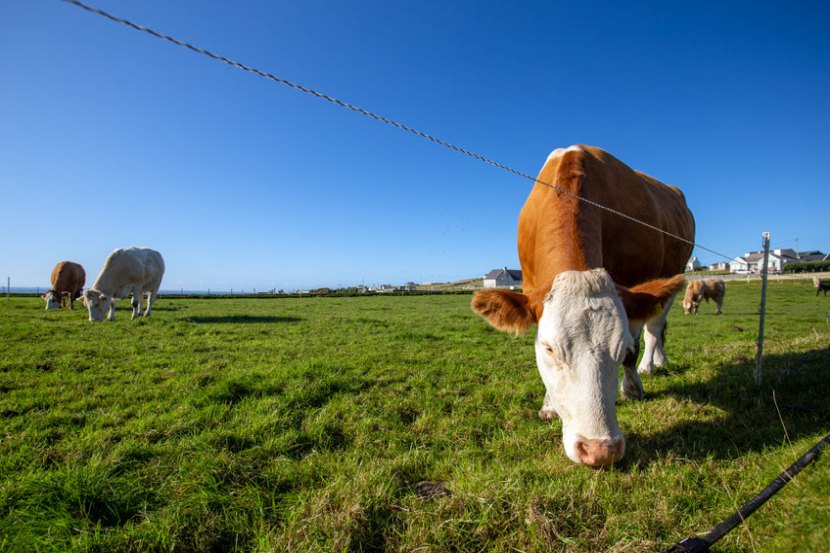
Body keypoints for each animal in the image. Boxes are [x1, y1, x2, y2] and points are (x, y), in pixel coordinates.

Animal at [474, 146, 696, 466]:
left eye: (622, 348)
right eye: (549, 348)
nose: (599, 450)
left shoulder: (630, 293)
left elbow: (637, 341)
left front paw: (631, 387)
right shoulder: (529, 284)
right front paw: (549, 405)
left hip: (672, 274)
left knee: (654, 328)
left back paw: (648, 366)